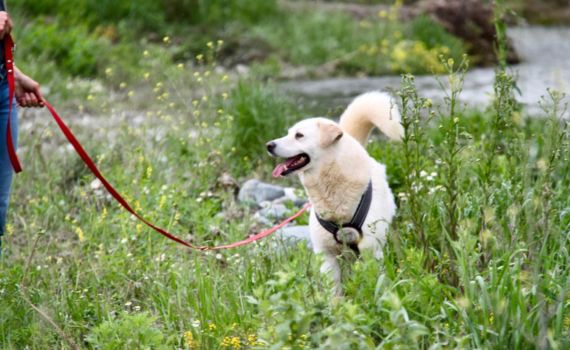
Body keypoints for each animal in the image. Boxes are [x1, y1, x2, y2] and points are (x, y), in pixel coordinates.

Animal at [266, 91, 402, 292]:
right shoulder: (327, 256)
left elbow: (375, 281)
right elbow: (333, 291)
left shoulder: (371, 251)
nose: (269, 145)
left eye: (299, 135)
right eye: (288, 133)